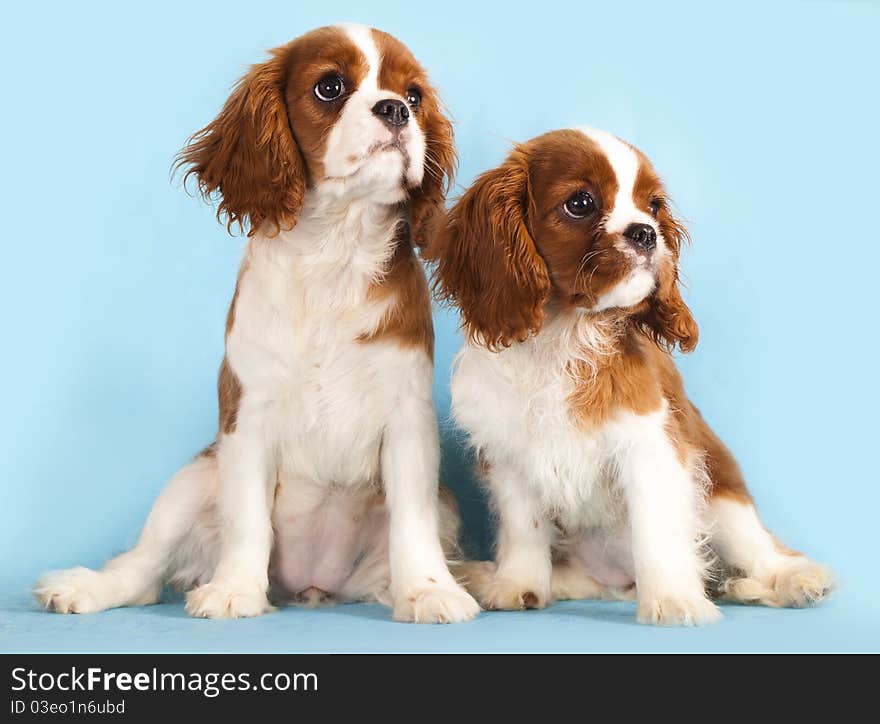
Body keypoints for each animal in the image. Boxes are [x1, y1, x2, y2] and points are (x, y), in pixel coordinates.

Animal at [34, 22, 478, 624]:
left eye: (414, 96)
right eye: (330, 87)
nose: (394, 110)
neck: (334, 249)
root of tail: (311, 586)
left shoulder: (408, 421)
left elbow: (413, 521)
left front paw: (429, 590)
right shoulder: (247, 417)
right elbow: (246, 518)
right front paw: (235, 589)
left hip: (444, 507)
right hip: (194, 478)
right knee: (143, 570)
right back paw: (84, 588)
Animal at [430, 129, 836, 624]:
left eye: (655, 207)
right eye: (581, 203)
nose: (646, 232)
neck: (564, 334)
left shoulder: (649, 447)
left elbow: (656, 529)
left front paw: (673, 599)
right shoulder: (509, 456)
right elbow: (524, 526)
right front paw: (517, 585)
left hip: (725, 503)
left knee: (760, 550)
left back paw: (794, 580)